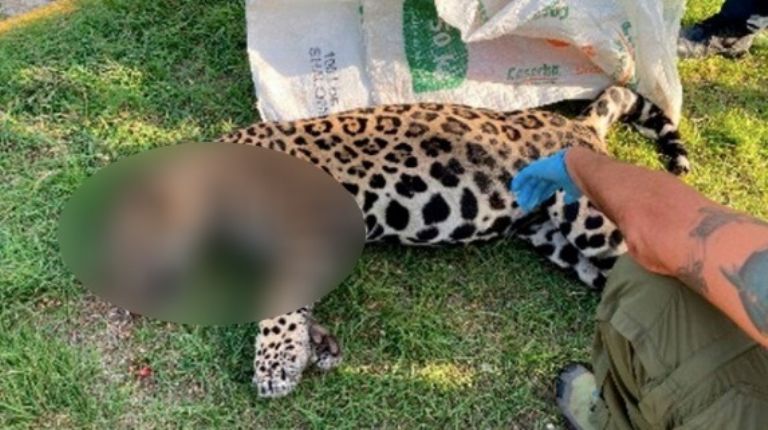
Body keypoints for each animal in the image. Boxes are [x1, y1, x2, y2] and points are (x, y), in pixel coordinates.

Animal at [217, 85, 690, 398]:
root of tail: (579, 124)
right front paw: (316, 345)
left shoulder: (308, 234)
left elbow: (280, 304)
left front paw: (275, 364)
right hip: (560, 242)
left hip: (588, 218)